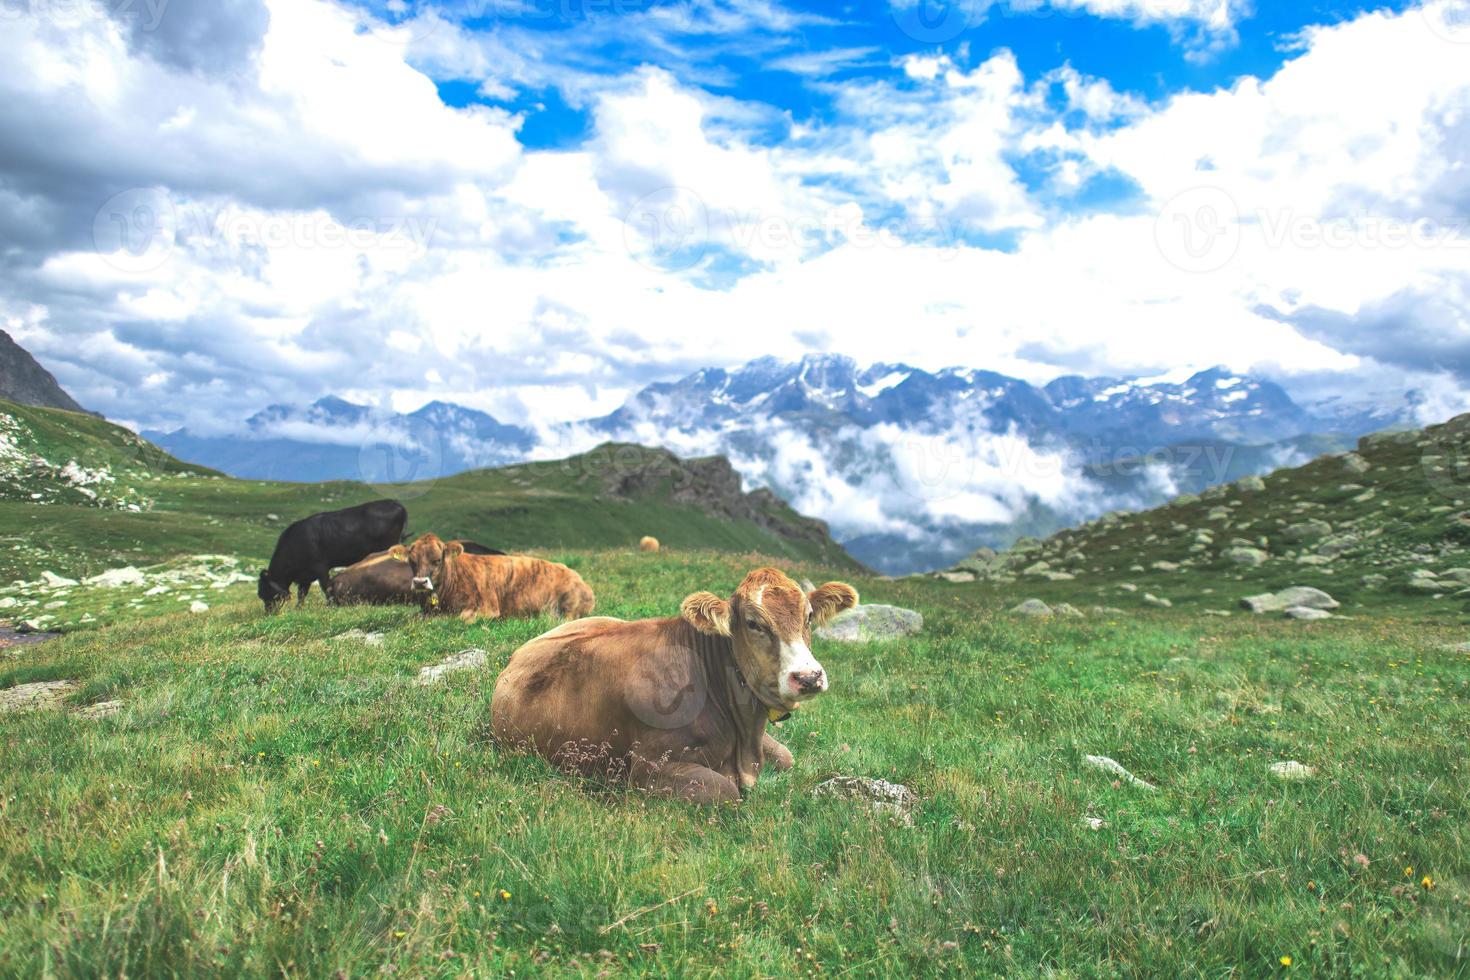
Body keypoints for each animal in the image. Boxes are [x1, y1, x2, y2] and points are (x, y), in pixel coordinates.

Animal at [258, 499, 408, 614]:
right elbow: (302, 593)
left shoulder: (320, 567)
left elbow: (326, 587)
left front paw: (331, 605)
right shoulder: (306, 575)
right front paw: (299, 609)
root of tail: (396, 503)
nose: (269, 613)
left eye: (265, 592)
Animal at [396, 537, 596, 620]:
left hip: (570, 605)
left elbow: (459, 618)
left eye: (437, 560)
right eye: (412, 561)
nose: (420, 582)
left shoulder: (487, 607)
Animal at [493, 567, 858, 805]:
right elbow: (727, 791)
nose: (808, 677)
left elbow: (786, 756)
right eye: (754, 623)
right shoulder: (647, 769)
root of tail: (517, 655)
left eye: (808, 616)